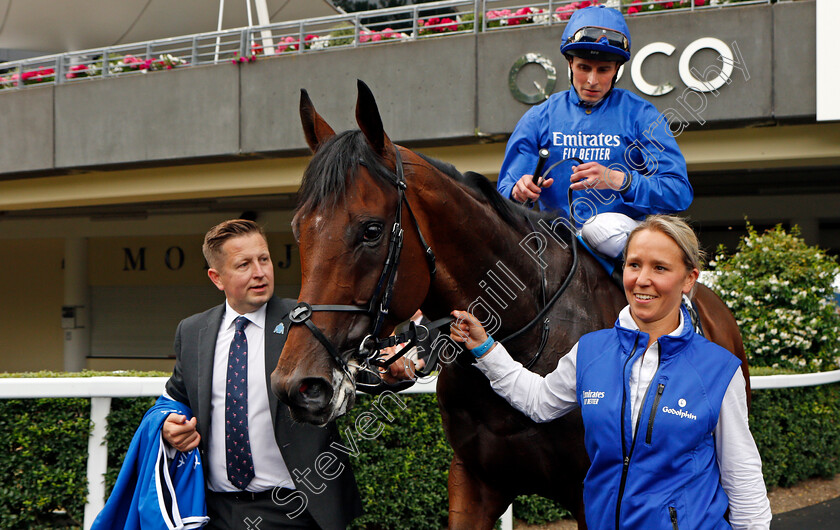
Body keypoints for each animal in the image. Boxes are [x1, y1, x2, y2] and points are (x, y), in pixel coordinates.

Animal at [270, 80, 748, 524]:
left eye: (370, 230)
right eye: (298, 228)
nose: (298, 385)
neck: (532, 335)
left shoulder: (593, 493)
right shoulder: (474, 480)